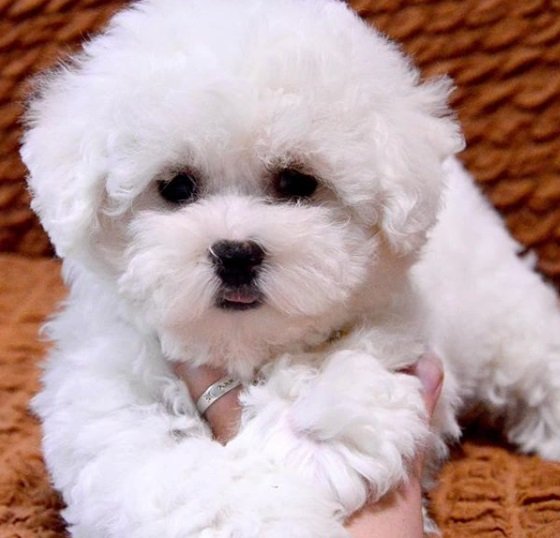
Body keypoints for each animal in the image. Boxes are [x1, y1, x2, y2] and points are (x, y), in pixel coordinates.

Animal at [19, 0, 560, 532]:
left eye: (297, 182)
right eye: (175, 187)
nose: (235, 253)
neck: (238, 346)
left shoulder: (395, 328)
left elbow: (342, 371)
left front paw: (302, 442)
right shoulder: (108, 388)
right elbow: (166, 477)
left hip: (498, 311)